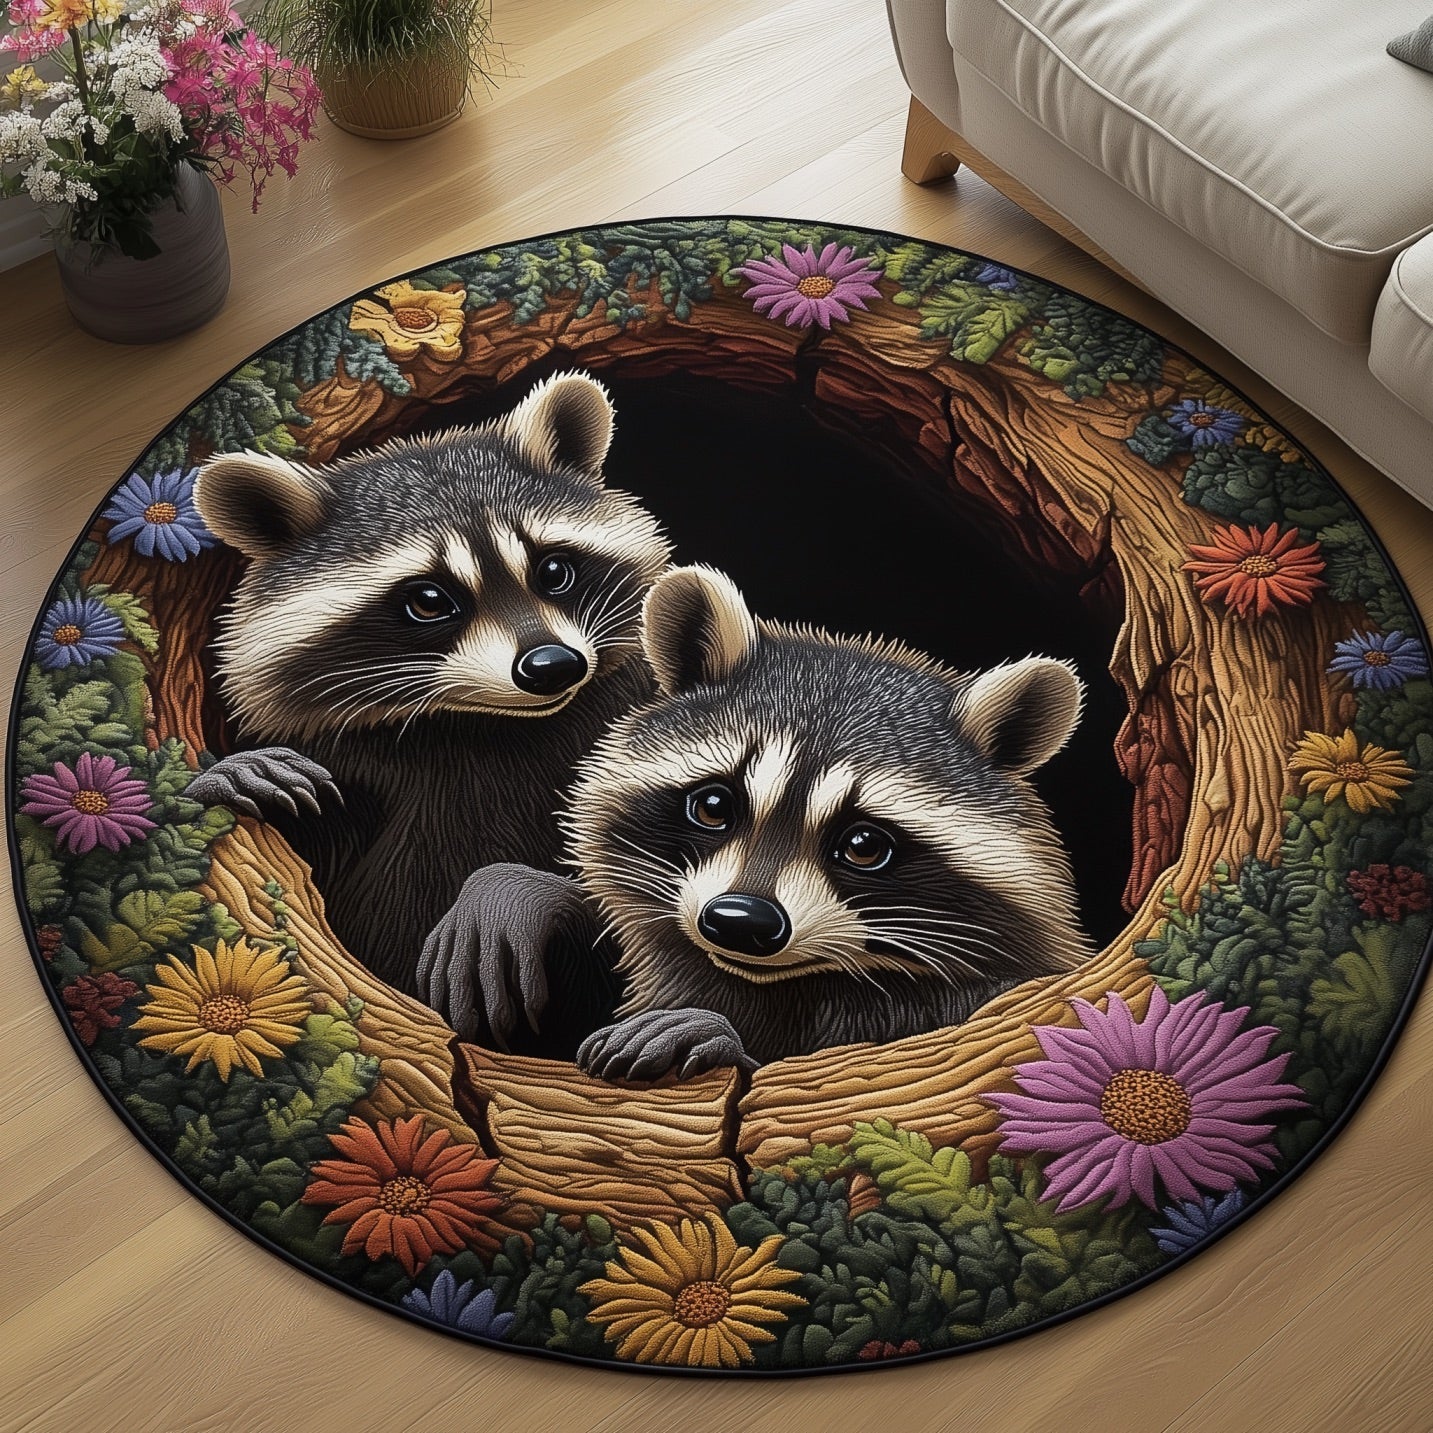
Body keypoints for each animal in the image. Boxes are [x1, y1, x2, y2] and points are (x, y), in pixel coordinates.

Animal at [187, 373, 673, 1047]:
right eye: (428, 600)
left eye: (554, 569)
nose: (553, 665)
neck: (488, 725)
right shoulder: (357, 775)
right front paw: (231, 770)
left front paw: (509, 888)